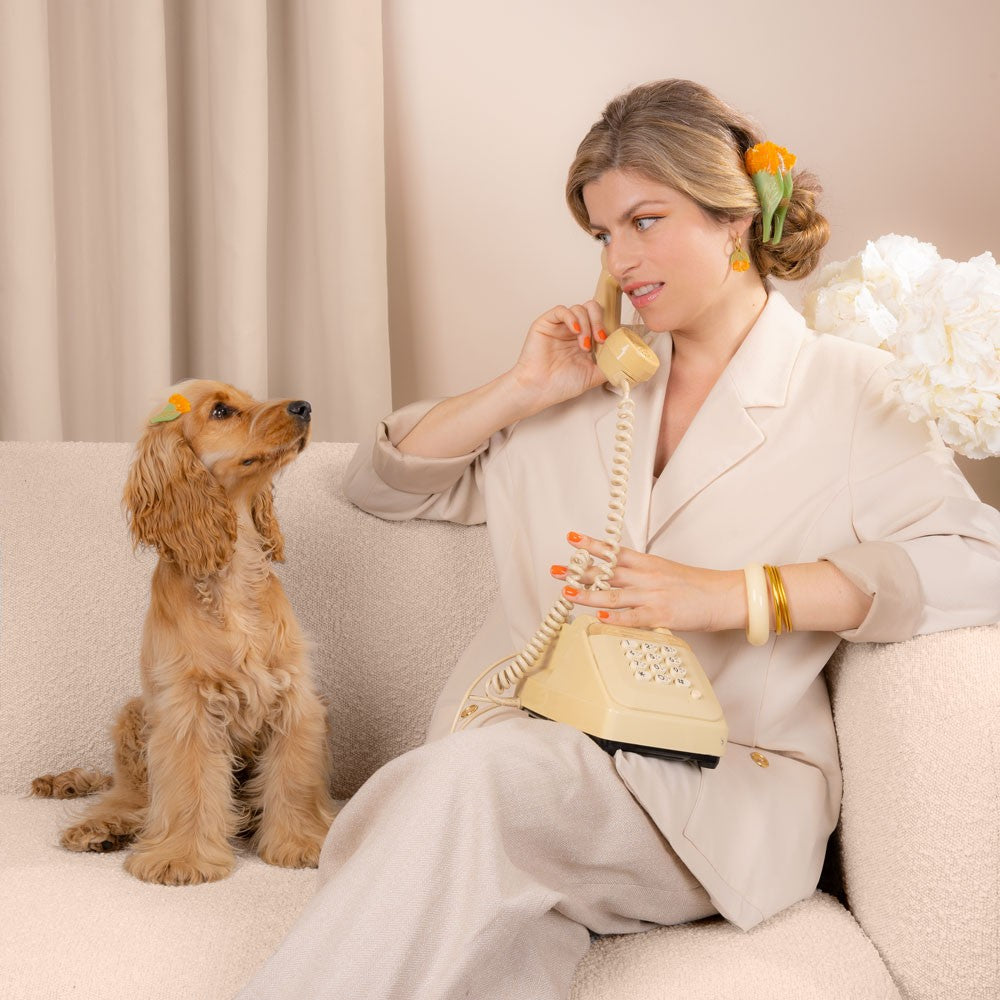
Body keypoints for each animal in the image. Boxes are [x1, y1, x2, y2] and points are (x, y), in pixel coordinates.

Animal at [32, 376, 336, 884]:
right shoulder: (188, 708)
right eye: (220, 412)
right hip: (135, 717)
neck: (233, 571)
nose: (305, 406)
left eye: (251, 399)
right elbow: (189, 786)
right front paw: (182, 859)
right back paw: (99, 829)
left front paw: (304, 843)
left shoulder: (293, 697)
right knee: (131, 798)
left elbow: (294, 779)